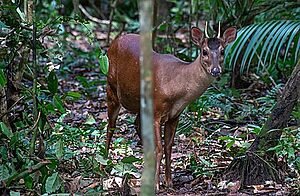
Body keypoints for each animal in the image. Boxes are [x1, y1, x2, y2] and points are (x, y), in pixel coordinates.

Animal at [105, 22, 237, 189]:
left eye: (223, 51)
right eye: (204, 51)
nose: (215, 70)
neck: (176, 89)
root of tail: (114, 42)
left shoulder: (175, 116)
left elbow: (168, 147)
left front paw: (169, 181)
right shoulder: (156, 111)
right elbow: (159, 148)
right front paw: (156, 184)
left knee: (136, 124)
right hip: (111, 87)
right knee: (110, 127)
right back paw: (103, 163)